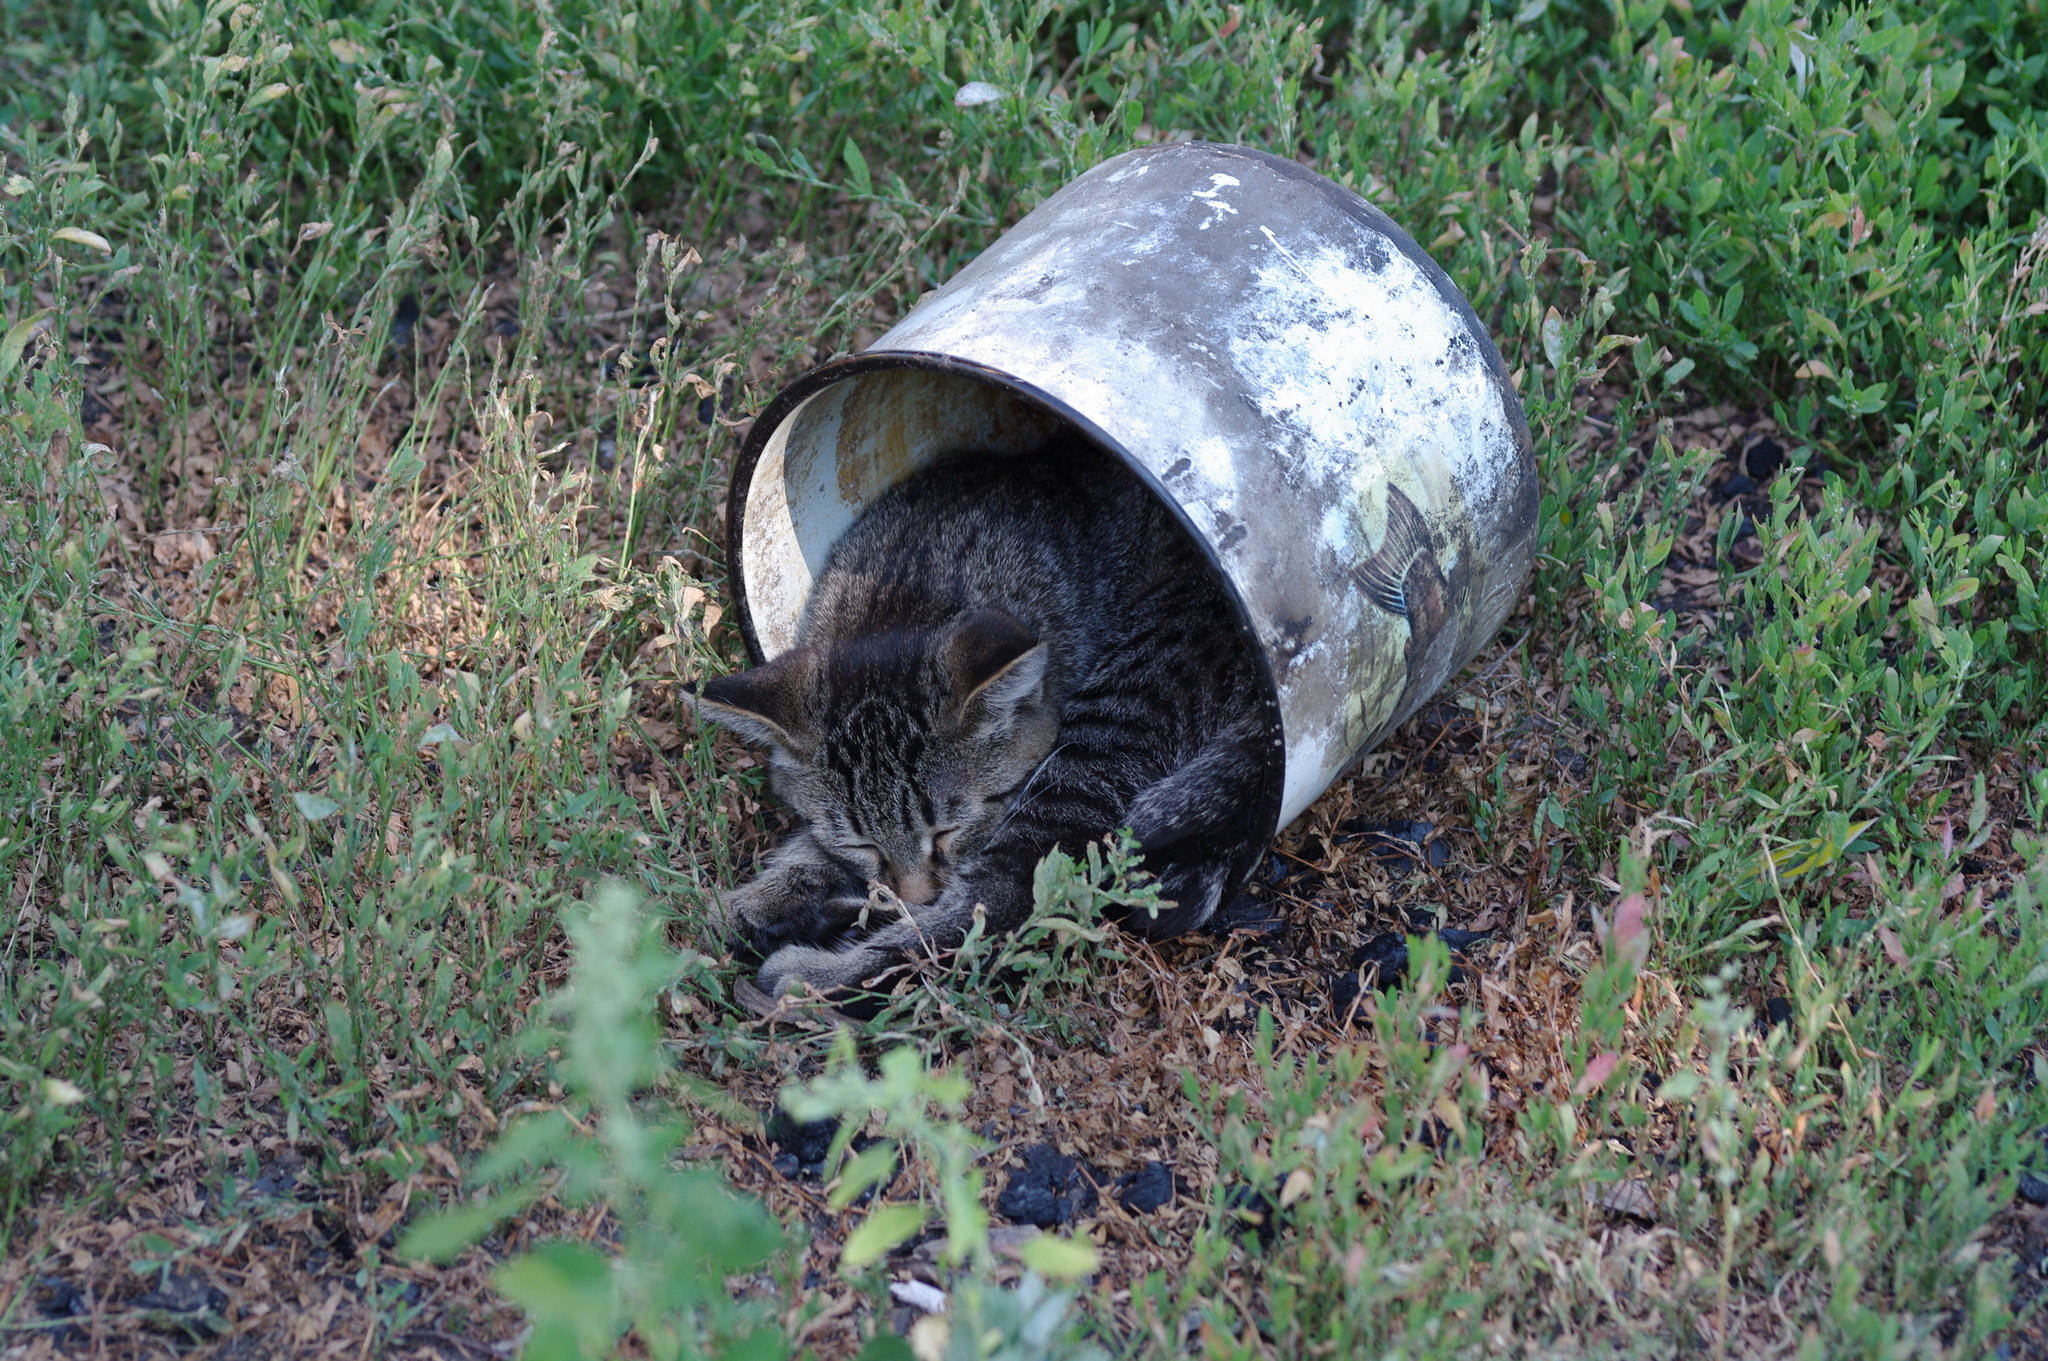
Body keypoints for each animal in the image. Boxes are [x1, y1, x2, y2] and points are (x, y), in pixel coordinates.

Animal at [700, 437, 1261, 998]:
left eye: (948, 832)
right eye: (862, 843)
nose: (918, 898)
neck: (907, 587)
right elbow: (815, 849)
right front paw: (741, 905)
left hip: (1112, 726)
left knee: (1001, 908)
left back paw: (816, 975)